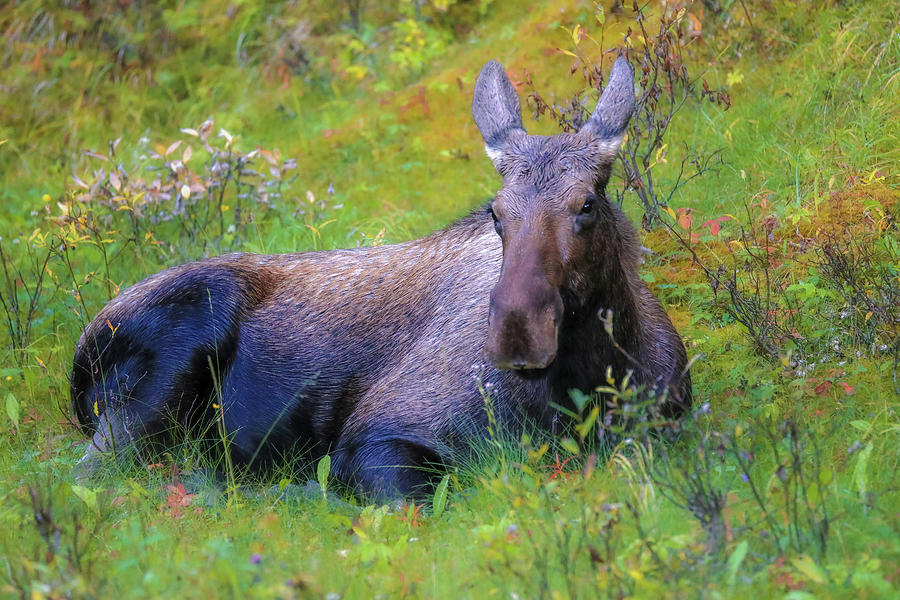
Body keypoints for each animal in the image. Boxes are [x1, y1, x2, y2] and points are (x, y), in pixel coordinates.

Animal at [71, 55, 691, 498]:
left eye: (586, 203)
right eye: (495, 212)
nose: (519, 329)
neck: (596, 380)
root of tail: (75, 367)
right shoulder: (371, 439)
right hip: (171, 358)